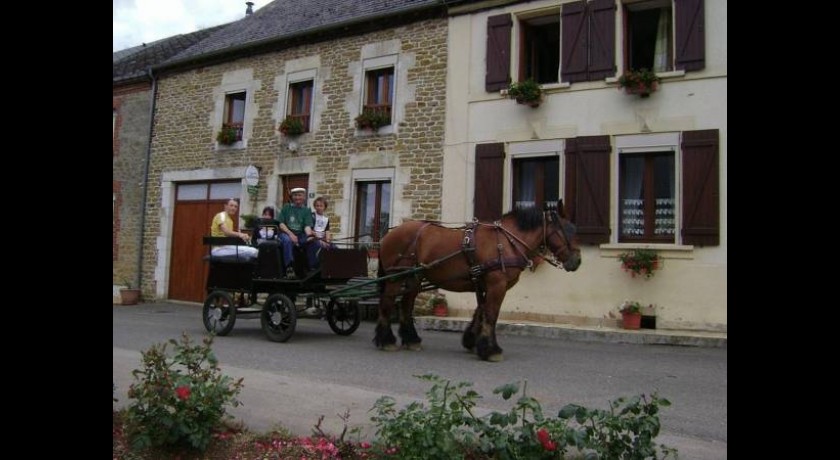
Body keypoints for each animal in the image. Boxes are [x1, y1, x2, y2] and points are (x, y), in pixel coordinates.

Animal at [376, 203, 580, 362]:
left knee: (406, 305)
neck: (507, 242)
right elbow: (491, 314)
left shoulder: (484, 284)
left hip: (414, 278)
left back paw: (411, 339)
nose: (577, 261)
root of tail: (387, 236)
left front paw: (473, 341)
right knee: (387, 303)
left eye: (574, 230)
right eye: (565, 231)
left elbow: (480, 311)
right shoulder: (497, 285)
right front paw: (491, 350)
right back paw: (386, 340)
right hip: (396, 277)